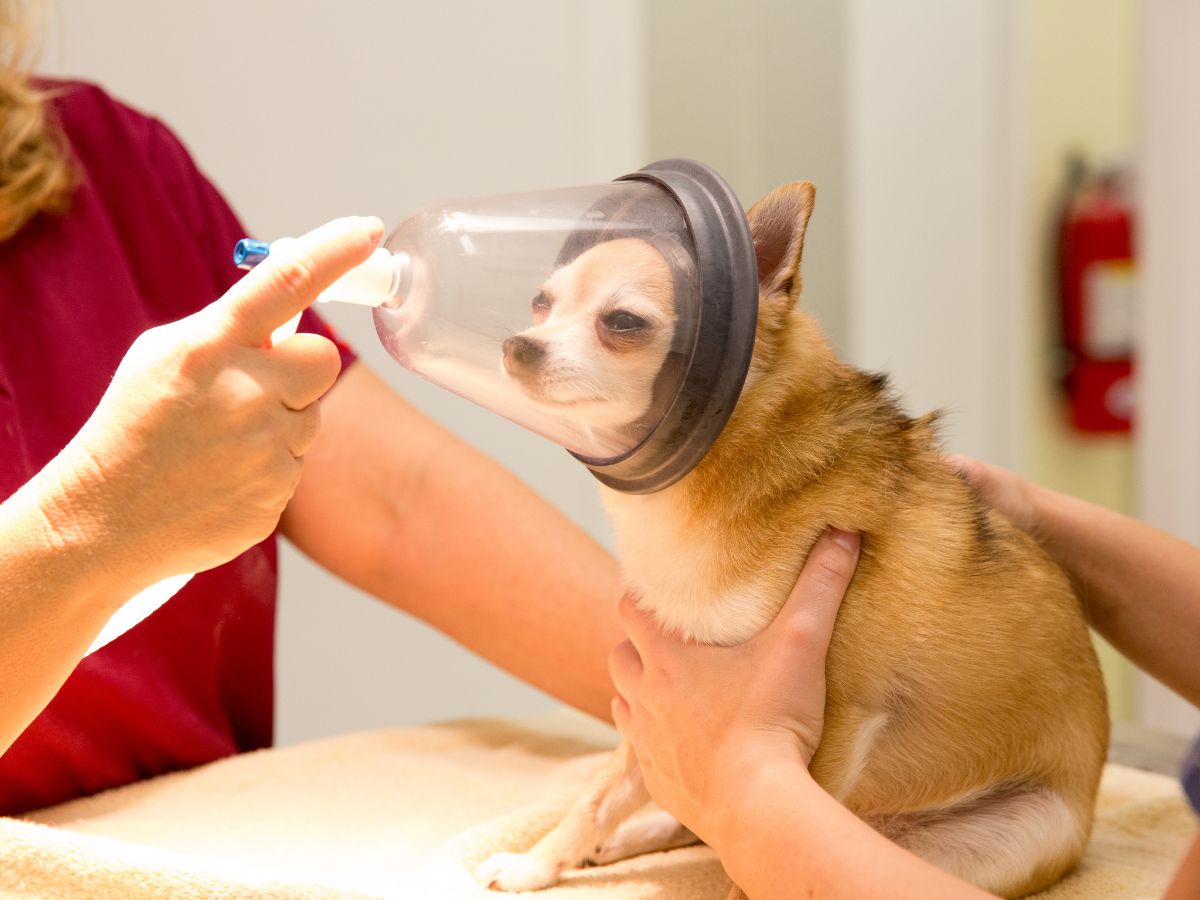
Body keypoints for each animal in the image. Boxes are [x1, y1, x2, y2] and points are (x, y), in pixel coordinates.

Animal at [477, 184, 1104, 900]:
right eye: (541, 303)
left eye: (624, 322)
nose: (517, 346)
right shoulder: (659, 693)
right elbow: (601, 792)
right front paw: (537, 862)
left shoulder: (826, 728)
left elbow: (756, 845)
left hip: (1012, 834)